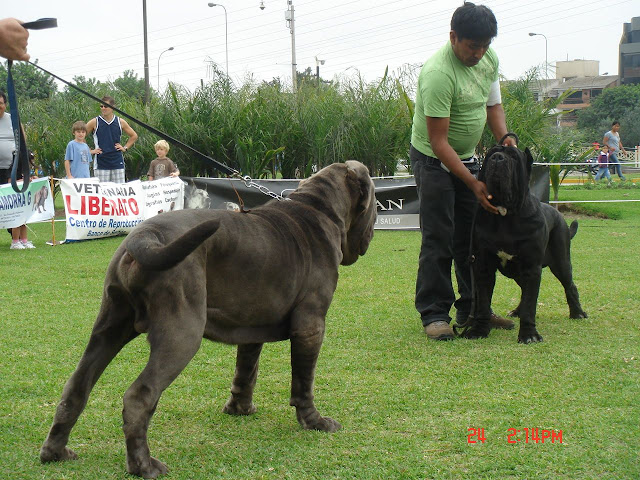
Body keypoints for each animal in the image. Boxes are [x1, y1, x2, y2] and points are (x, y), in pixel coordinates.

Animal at [40, 160, 378, 476]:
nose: (372, 231)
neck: (319, 208)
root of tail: (146, 233)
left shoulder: (251, 325)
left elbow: (246, 370)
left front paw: (239, 408)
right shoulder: (311, 326)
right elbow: (303, 381)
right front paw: (315, 421)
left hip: (109, 326)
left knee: (76, 388)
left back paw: (55, 452)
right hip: (182, 333)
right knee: (138, 397)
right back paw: (144, 466)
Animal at [460, 137, 584, 344]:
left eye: (513, 157)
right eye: (491, 153)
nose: (497, 158)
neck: (505, 213)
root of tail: (559, 214)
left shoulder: (531, 267)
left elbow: (530, 303)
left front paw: (529, 335)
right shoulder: (483, 266)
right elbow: (483, 302)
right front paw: (478, 330)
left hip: (561, 261)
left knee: (570, 285)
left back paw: (578, 313)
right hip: (519, 272)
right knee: (524, 290)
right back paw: (517, 311)